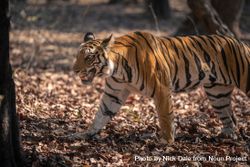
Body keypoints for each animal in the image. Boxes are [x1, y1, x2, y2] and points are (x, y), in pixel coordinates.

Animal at [71, 31, 249, 144]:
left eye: (88, 57)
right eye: (77, 55)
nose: (75, 70)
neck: (117, 70)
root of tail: (241, 42)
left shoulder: (161, 89)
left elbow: (165, 117)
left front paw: (167, 142)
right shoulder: (114, 93)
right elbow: (101, 114)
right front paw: (85, 133)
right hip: (217, 94)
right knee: (230, 118)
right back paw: (227, 136)